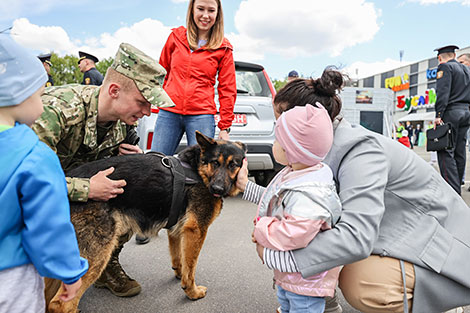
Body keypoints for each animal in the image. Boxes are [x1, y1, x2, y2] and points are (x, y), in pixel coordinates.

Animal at [46, 130, 248, 310]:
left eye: (233, 165)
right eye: (215, 162)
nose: (217, 189)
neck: (197, 169)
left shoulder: (177, 229)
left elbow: (179, 257)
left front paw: (179, 274)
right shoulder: (196, 230)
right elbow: (191, 267)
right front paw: (192, 292)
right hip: (97, 253)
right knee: (60, 304)